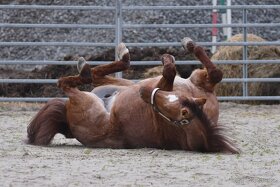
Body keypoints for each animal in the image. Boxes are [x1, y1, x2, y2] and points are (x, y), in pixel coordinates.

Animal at [26, 38, 238, 153]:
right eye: (172, 102)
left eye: (169, 108)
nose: (144, 93)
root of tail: (67, 121)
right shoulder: (194, 82)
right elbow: (213, 73)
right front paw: (179, 52)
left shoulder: (162, 86)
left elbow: (170, 71)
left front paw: (169, 59)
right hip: (129, 84)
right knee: (97, 75)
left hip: (87, 100)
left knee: (71, 82)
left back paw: (86, 67)